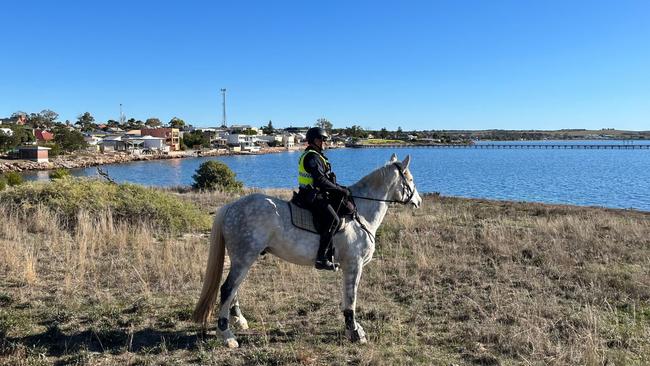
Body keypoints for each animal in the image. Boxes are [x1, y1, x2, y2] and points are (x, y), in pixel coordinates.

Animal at [189, 153, 420, 348]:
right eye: (410, 179)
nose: (418, 201)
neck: (360, 214)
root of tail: (231, 207)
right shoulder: (354, 265)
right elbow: (351, 300)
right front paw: (355, 332)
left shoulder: (348, 266)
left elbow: (346, 299)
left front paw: (351, 328)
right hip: (244, 257)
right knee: (228, 289)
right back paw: (227, 336)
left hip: (242, 258)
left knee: (234, 289)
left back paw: (239, 321)